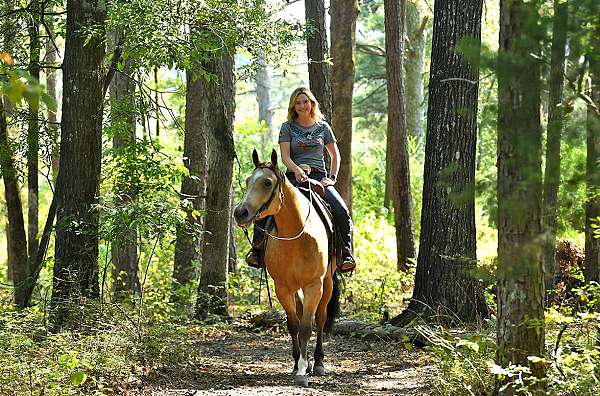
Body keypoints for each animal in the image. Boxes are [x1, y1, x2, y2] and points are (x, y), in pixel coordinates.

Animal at [233, 148, 340, 386]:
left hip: (326, 283)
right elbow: (293, 324)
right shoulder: (282, 287)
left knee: (320, 318)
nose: (240, 213)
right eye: (247, 181)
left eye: (267, 182)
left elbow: (307, 326)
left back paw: (318, 363)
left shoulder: (313, 286)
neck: (297, 234)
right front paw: (297, 365)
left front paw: (302, 372)